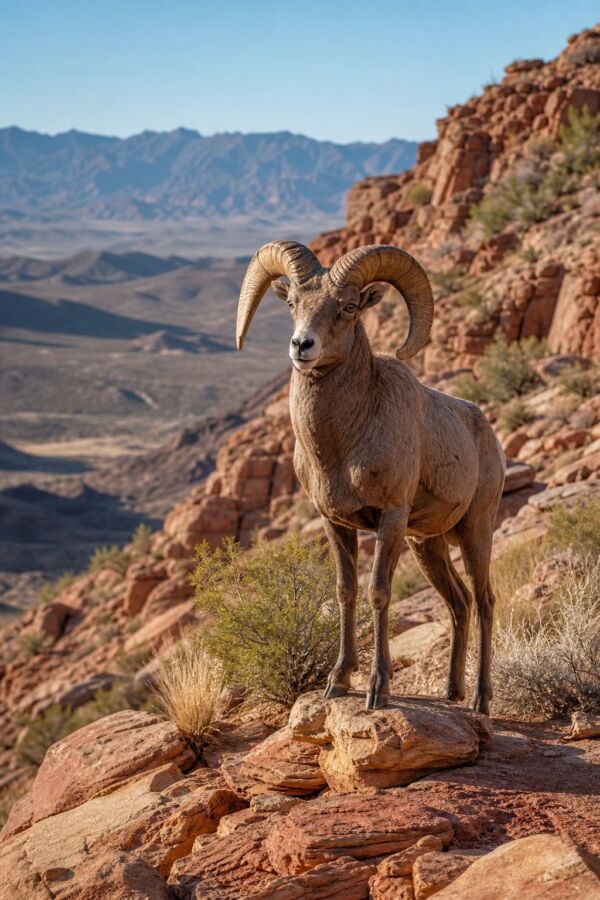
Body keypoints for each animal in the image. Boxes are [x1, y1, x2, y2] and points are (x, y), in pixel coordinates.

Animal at [236, 240, 505, 713]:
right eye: (292, 303)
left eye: (347, 307)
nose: (302, 345)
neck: (340, 446)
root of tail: (487, 431)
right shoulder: (336, 523)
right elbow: (346, 591)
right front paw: (338, 682)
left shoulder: (390, 518)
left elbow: (379, 592)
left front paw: (377, 689)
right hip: (427, 545)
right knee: (459, 603)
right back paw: (450, 692)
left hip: (475, 530)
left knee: (485, 600)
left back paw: (479, 701)